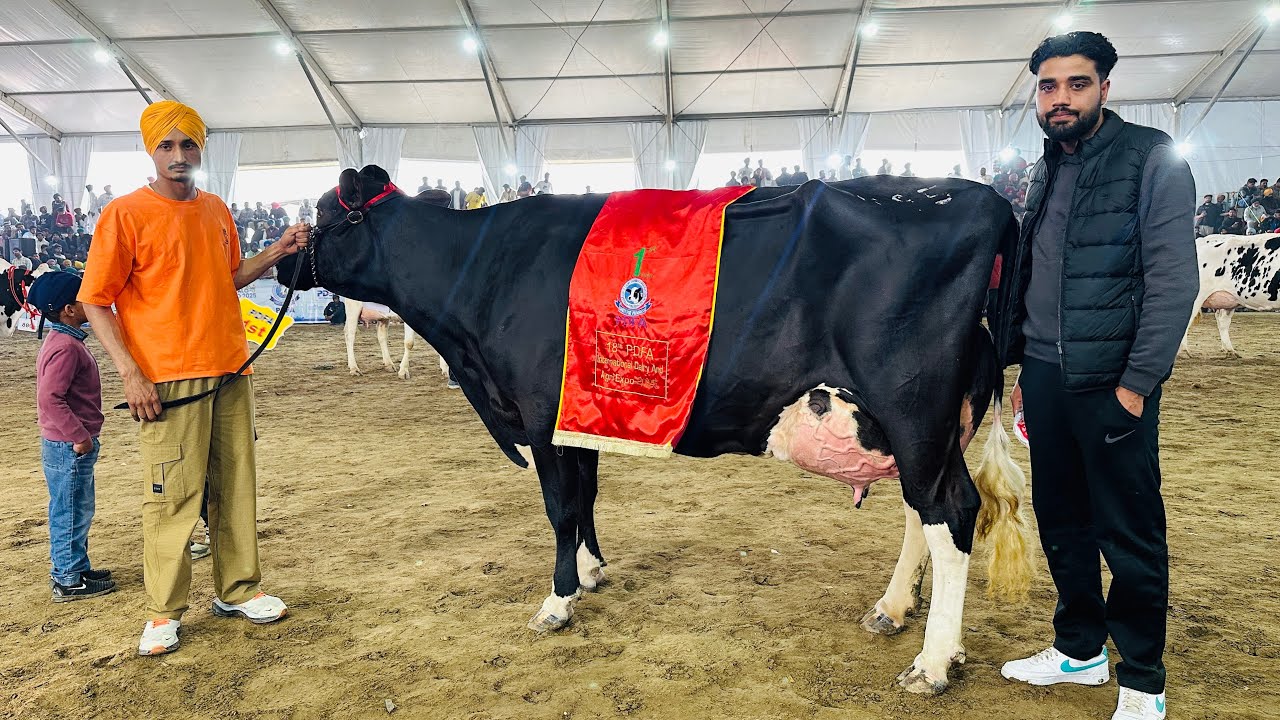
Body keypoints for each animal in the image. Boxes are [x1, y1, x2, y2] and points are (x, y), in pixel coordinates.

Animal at [278, 165, 1030, 695]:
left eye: (323, 214)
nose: (282, 261)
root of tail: (986, 200)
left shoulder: (540, 414)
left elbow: (560, 506)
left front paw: (558, 601)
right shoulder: (578, 413)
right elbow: (585, 496)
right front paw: (591, 571)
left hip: (914, 411)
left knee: (952, 513)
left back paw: (933, 663)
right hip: (923, 429)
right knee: (922, 514)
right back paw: (895, 609)